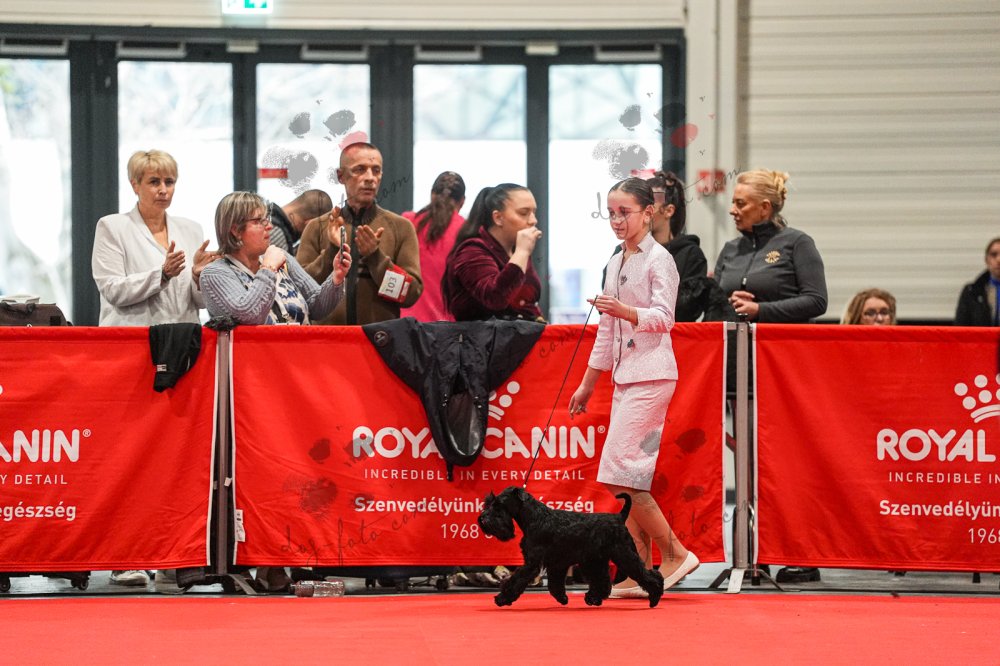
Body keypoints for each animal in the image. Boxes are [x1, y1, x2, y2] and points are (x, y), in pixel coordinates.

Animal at [477, 486, 663, 608]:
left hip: (624, 555)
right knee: (603, 581)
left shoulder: (532, 563)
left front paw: (502, 598)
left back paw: (655, 597)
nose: (483, 519)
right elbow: (555, 584)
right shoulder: (556, 563)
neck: (535, 517)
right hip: (595, 561)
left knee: (649, 574)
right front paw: (562, 599)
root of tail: (619, 517)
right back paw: (593, 599)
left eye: (499, 504)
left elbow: (516, 580)